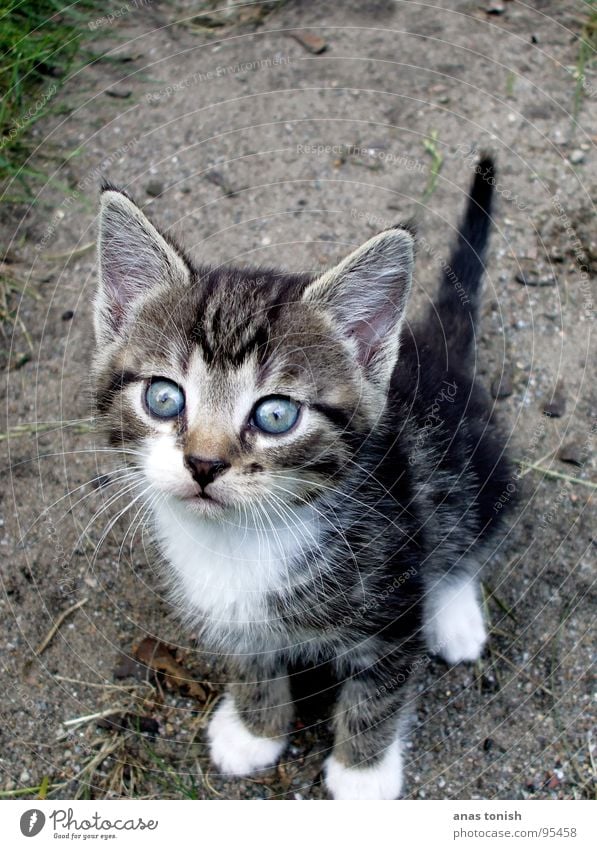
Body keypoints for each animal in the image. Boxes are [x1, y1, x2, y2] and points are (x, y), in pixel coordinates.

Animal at [93, 156, 512, 800]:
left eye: (275, 415)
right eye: (163, 398)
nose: (204, 463)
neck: (243, 539)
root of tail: (433, 347)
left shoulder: (390, 598)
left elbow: (379, 690)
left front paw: (362, 774)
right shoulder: (234, 613)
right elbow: (253, 661)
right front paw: (255, 729)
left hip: (471, 467)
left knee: (465, 530)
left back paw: (454, 614)